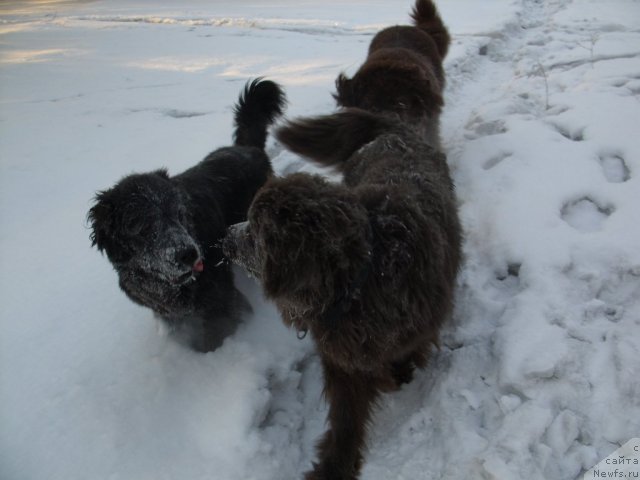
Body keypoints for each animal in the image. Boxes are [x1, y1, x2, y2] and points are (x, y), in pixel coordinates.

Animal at [87, 79, 284, 352]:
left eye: (180, 214)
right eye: (142, 226)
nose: (189, 253)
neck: (165, 282)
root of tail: (246, 147)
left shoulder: (221, 302)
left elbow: (212, 340)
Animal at [222, 1, 458, 478]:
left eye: (255, 231)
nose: (224, 237)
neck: (363, 278)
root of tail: (394, 128)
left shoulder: (414, 327)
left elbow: (405, 354)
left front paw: (399, 372)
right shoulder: (341, 359)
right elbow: (347, 416)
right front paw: (335, 463)